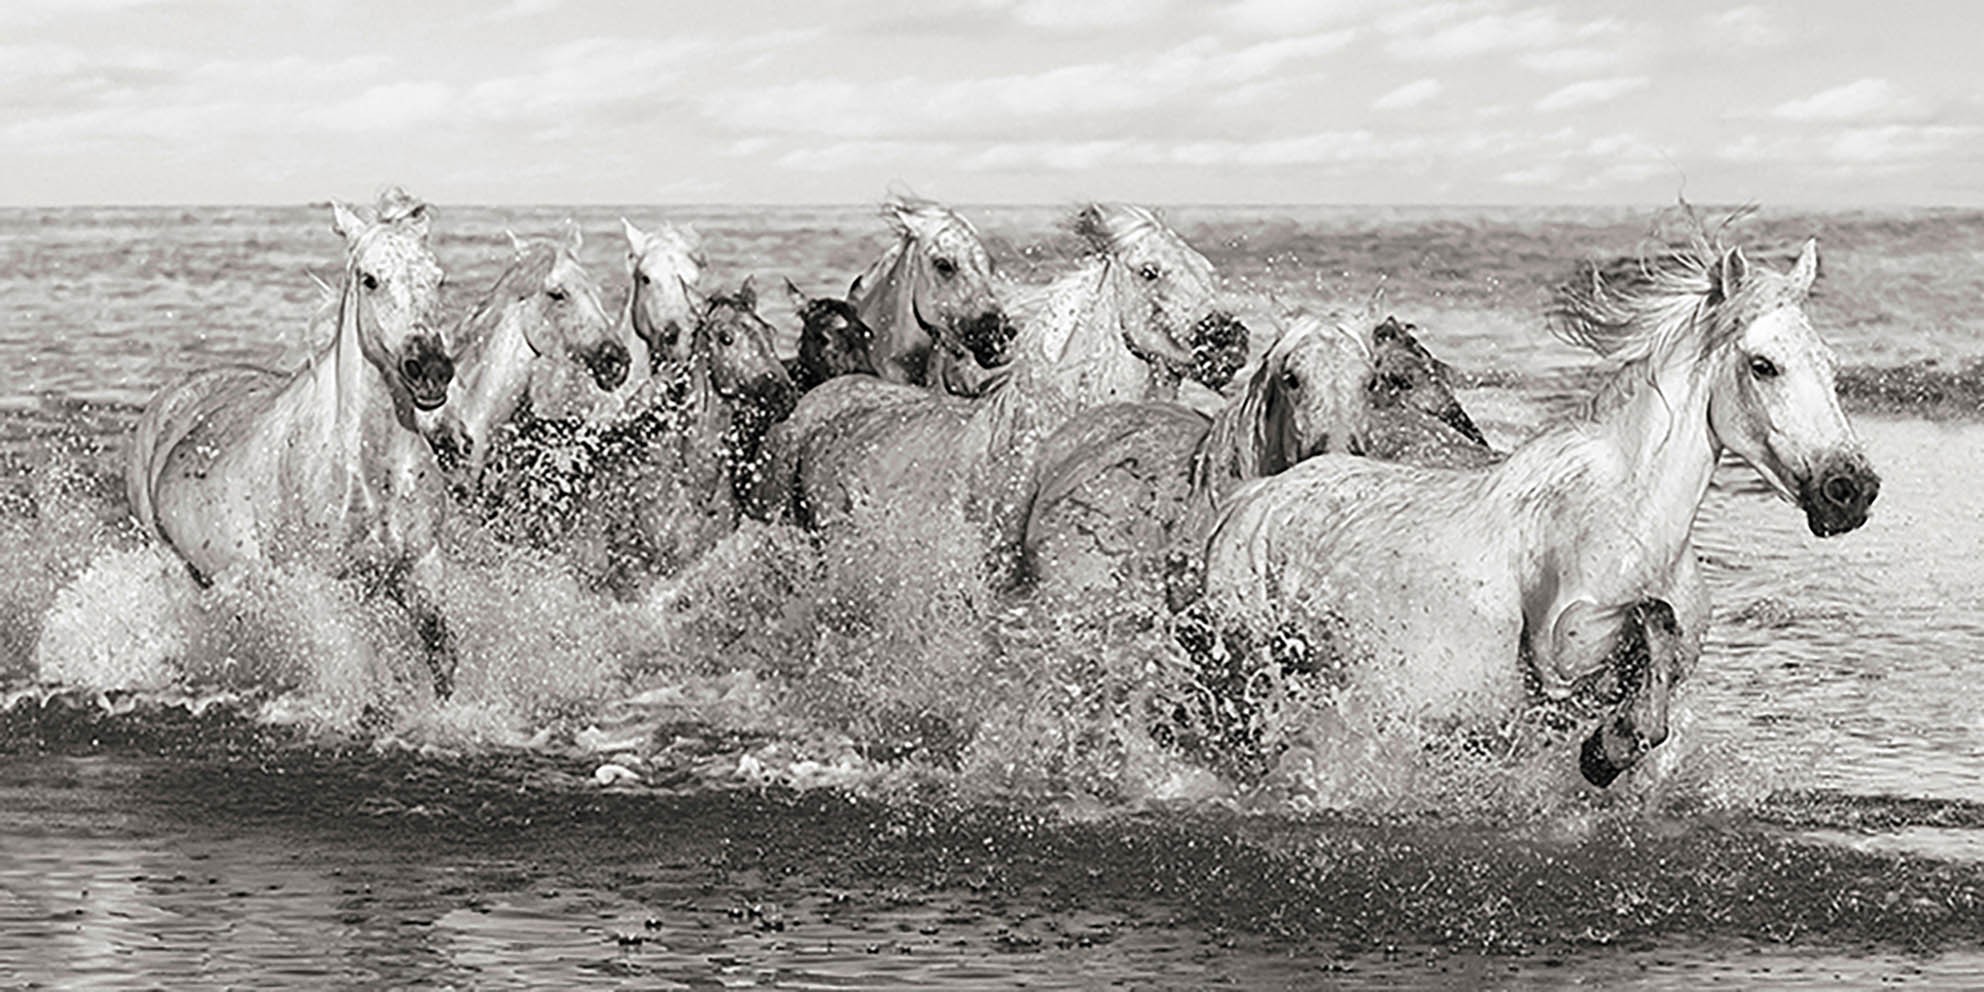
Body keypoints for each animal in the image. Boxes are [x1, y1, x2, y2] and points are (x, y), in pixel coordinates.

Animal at [125, 187, 461, 695]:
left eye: (438, 280)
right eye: (370, 280)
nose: (430, 370)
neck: (368, 470)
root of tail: (172, 396)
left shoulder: (422, 566)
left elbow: (442, 657)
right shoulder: (326, 586)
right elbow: (355, 668)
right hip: (173, 565)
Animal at [1193, 225, 1881, 787]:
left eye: (1830, 365)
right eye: (1764, 365)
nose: (1851, 490)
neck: (1637, 518)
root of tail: (1250, 500)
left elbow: (1661, 656)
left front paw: (1608, 746)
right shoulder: (1561, 645)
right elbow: (1652, 617)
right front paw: (1608, 750)